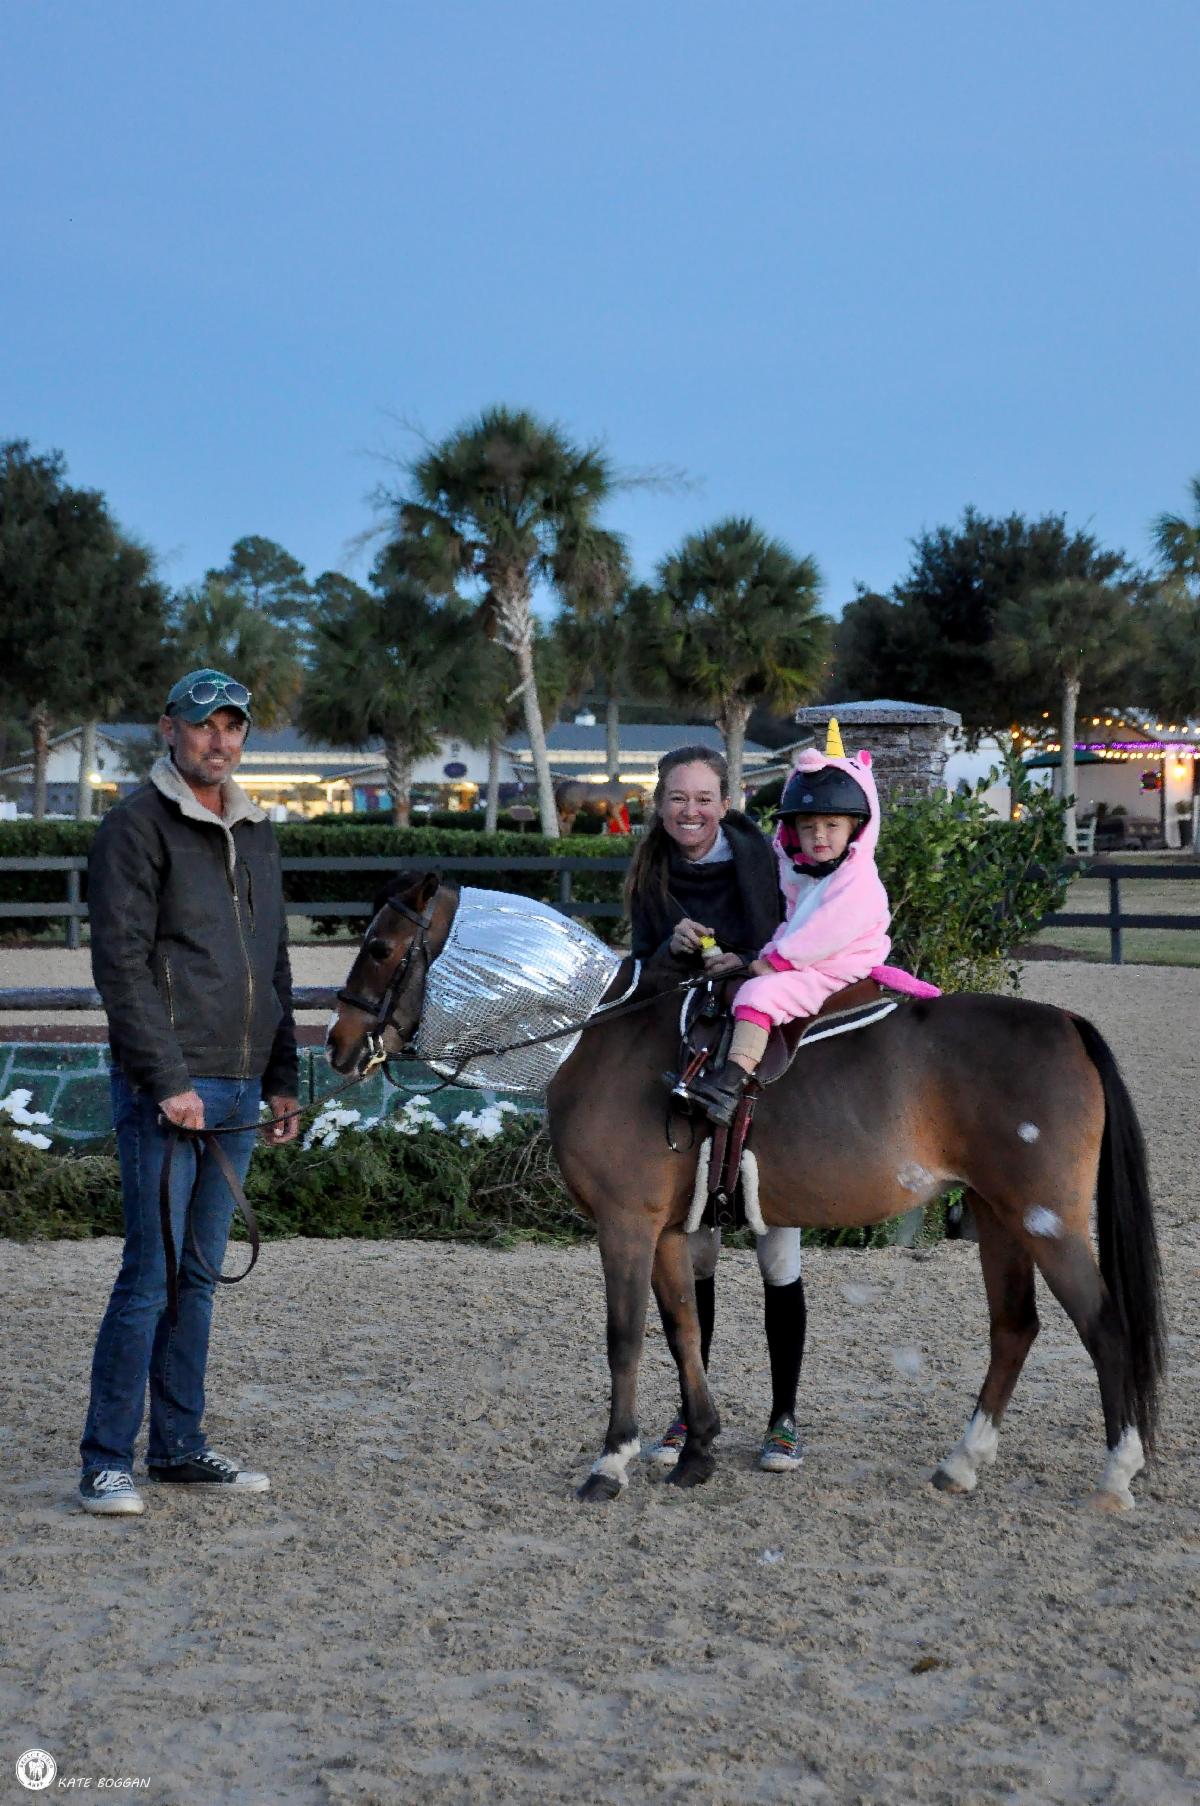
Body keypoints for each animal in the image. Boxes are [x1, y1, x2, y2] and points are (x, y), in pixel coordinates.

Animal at [327, 872, 1167, 1514]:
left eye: (379, 948)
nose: (337, 1044)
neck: (597, 1034)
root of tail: (1065, 1023)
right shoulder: (668, 1232)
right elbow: (682, 1331)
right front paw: (695, 1447)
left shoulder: (625, 1226)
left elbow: (625, 1338)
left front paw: (612, 1461)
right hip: (1000, 1219)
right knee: (1014, 1329)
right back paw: (961, 1462)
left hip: (1047, 1221)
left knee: (1104, 1326)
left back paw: (1116, 1473)